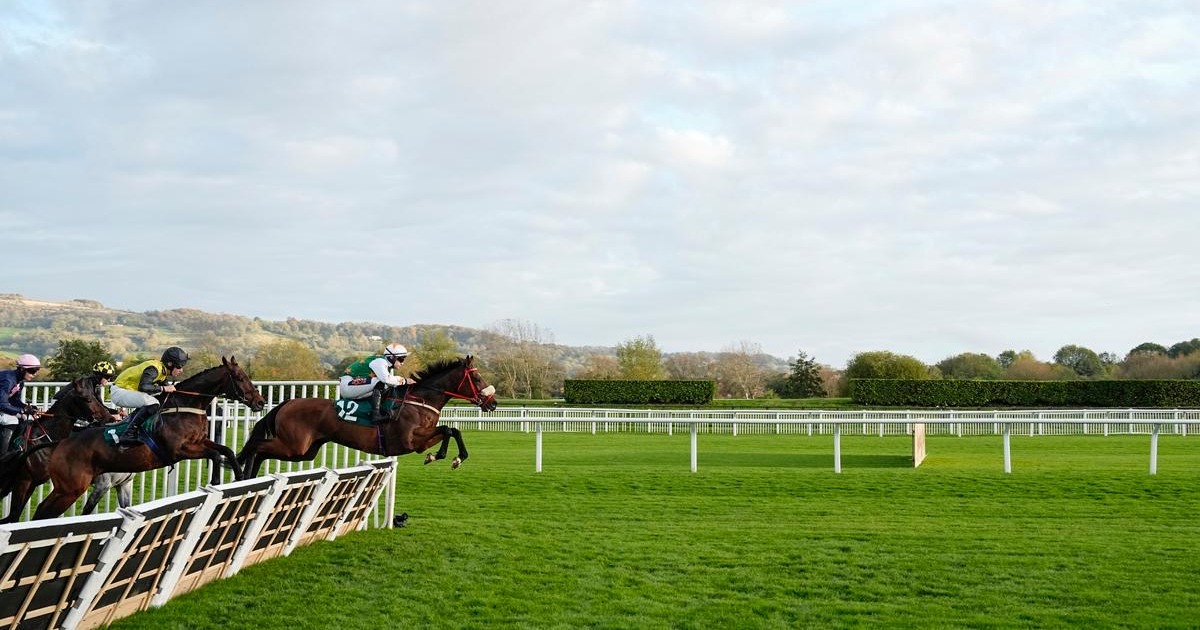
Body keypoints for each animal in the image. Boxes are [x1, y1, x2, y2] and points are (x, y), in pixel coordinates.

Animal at [0, 377, 114, 523]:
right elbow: (13, 516)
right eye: (87, 398)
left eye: (95, 396)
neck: (43, 439)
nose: (109, 417)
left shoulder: (33, 483)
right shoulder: (23, 481)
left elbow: (16, 515)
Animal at [31, 357, 266, 520]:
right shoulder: (179, 450)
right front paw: (216, 481)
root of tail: (62, 442)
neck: (185, 406)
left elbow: (226, 450)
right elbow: (215, 455)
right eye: (240, 378)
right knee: (44, 512)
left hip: (67, 488)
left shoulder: (199, 442)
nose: (260, 402)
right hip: (70, 488)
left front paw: (240, 476)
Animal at [236, 355, 498, 478]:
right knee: (257, 447)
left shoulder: (420, 442)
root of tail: (286, 404)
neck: (420, 401)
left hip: (304, 451)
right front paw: (448, 457)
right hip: (294, 446)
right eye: (476, 378)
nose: (493, 403)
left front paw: (447, 457)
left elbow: (452, 430)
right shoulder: (410, 441)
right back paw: (243, 474)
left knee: (261, 450)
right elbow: (449, 429)